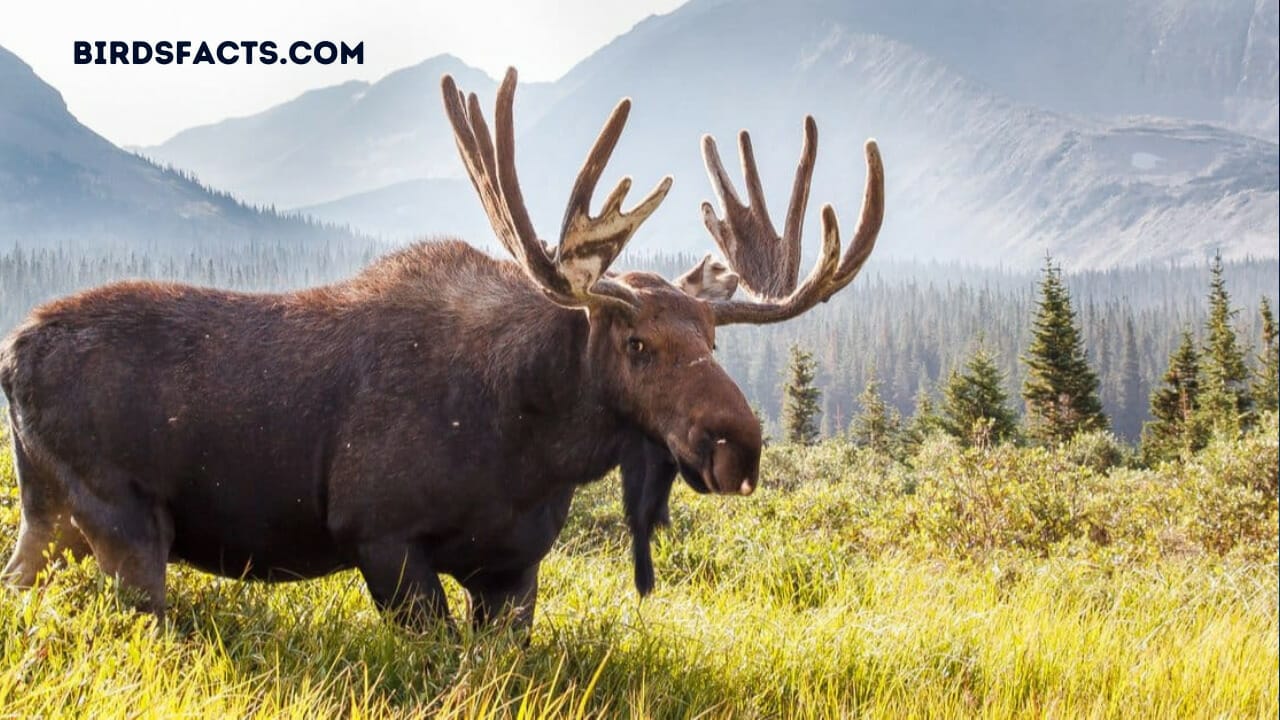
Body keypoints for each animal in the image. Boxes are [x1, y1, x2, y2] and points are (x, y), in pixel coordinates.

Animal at [0, 67, 883, 631]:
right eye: (636, 342)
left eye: (712, 338)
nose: (739, 445)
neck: (535, 446)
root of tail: (11, 355)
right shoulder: (382, 538)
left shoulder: (513, 568)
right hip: (122, 519)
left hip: (50, 518)